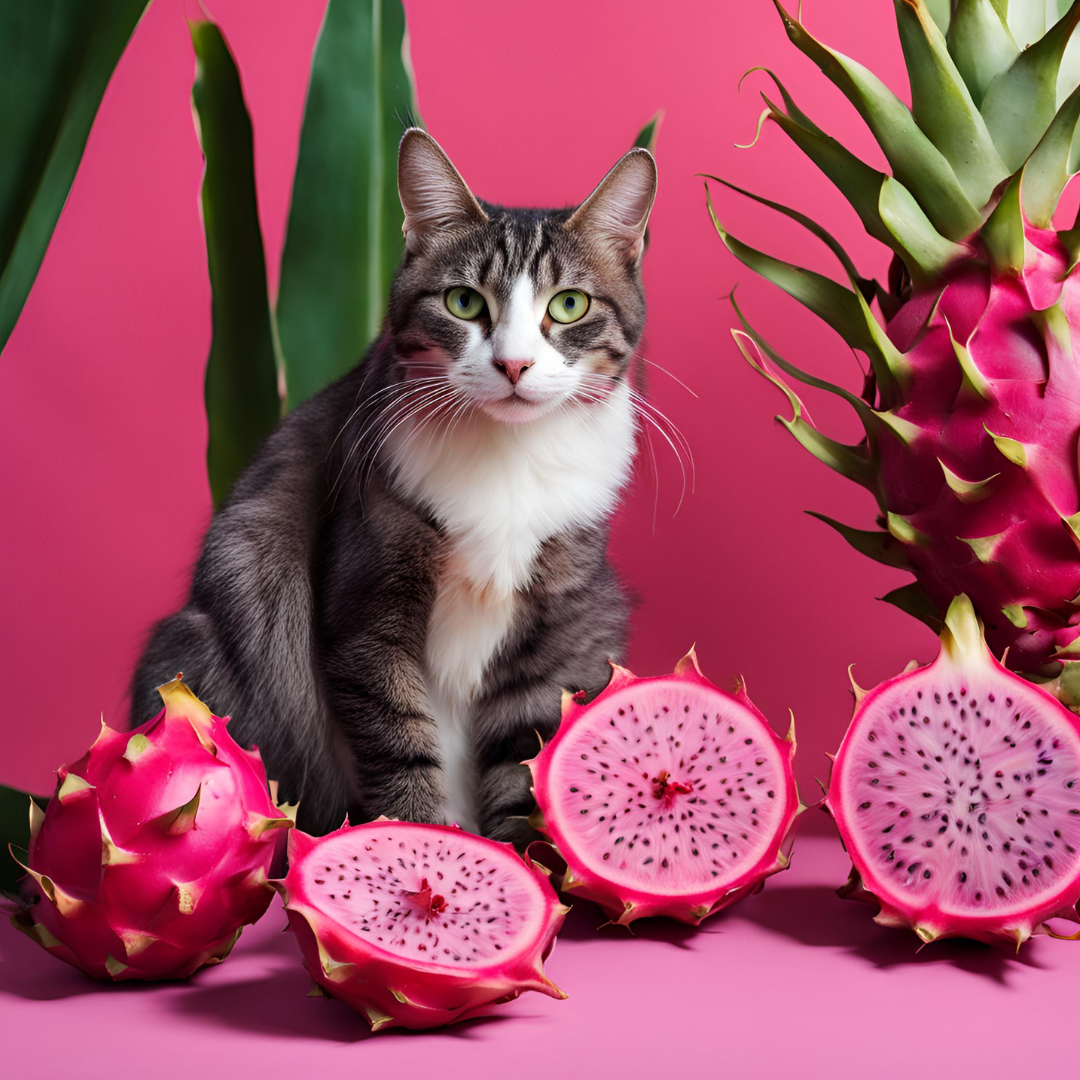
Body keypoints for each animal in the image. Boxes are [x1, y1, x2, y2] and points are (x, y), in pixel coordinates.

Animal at [135, 128, 656, 842]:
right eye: (464, 302)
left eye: (568, 305)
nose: (514, 364)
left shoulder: (553, 623)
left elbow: (525, 750)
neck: (507, 454)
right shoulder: (371, 596)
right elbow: (400, 741)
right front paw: (418, 846)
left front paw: (520, 859)